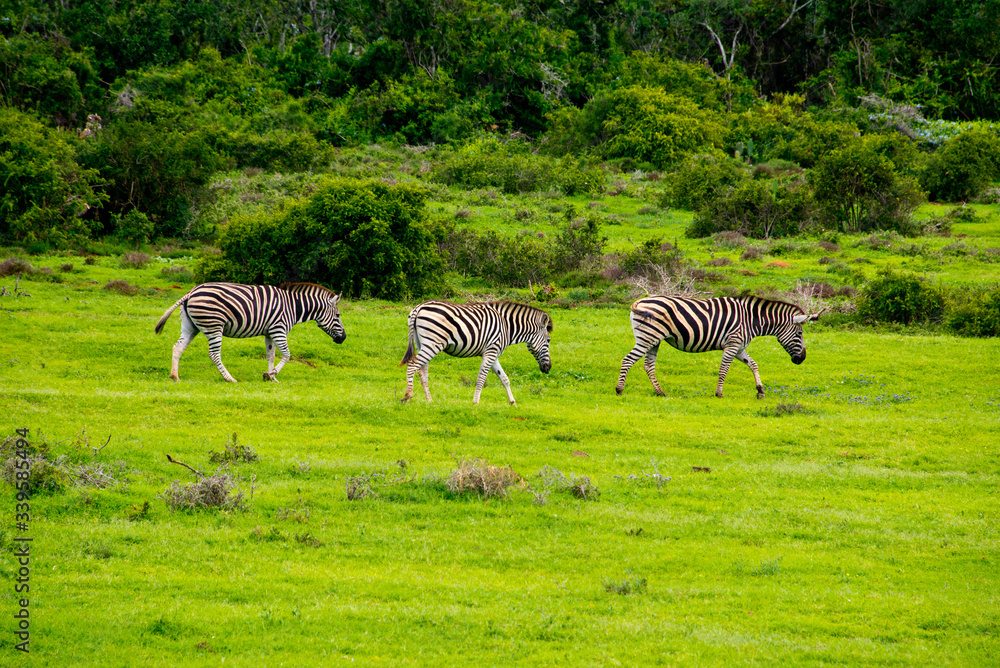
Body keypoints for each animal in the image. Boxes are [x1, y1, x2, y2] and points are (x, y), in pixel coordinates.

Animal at [154, 282, 346, 383]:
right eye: (338, 315)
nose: (343, 338)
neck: (294, 307)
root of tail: (191, 292)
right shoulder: (278, 329)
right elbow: (287, 355)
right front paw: (271, 374)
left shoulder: (269, 332)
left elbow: (270, 355)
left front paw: (271, 377)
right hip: (214, 326)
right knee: (214, 354)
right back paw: (229, 378)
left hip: (190, 326)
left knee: (177, 347)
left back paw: (175, 376)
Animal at [399, 300, 553, 405]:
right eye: (548, 340)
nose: (548, 368)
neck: (507, 327)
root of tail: (418, 307)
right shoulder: (491, 351)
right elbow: (481, 378)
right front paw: (475, 402)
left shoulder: (493, 354)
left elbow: (504, 378)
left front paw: (512, 403)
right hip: (433, 343)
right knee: (412, 365)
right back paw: (408, 396)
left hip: (422, 343)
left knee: (422, 372)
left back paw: (430, 401)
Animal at [616, 295, 824, 399]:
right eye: (800, 334)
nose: (802, 359)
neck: (752, 320)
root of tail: (639, 301)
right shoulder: (732, 344)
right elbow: (724, 369)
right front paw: (719, 393)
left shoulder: (739, 346)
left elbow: (753, 364)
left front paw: (760, 390)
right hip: (648, 337)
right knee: (628, 359)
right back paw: (619, 389)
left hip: (654, 339)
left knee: (648, 365)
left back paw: (660, 392)